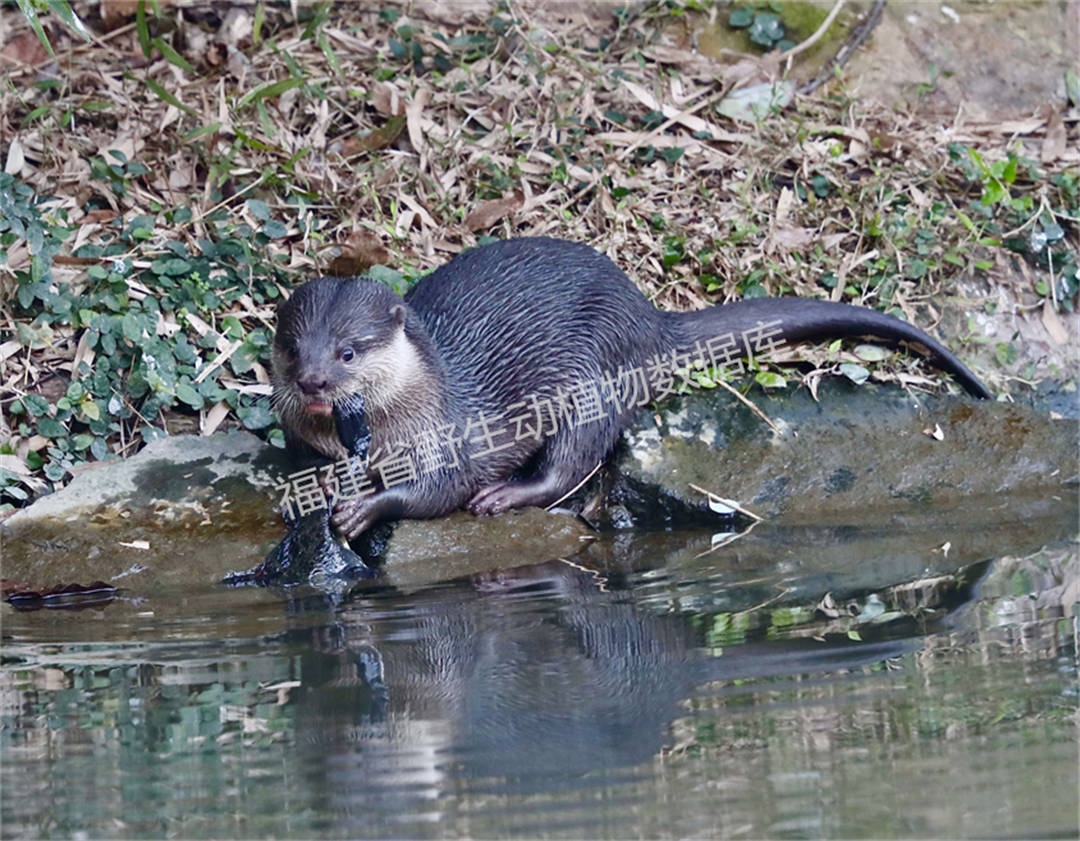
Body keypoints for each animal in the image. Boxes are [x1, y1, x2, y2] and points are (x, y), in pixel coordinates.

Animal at [274, 236, 989, 539]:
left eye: (348, 350)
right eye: (290, 348)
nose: (312, 381)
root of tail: (648, 319)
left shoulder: (447, 436)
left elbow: (437, 490)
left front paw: (364, 509)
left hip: (593, 377)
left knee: (574, 460)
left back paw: (506, 496)